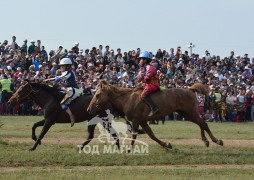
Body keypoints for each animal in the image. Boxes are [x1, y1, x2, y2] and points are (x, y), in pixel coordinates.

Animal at [88, 81, 223, 150]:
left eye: (98, 95)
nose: (89, 109)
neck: (128, 98)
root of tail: (189, 89)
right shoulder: (143, 121)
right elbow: (151, 135)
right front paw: (166, 144)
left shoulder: (136, 120)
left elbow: (134, 135)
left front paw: (130, 149)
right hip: (187, 114)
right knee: (201, 124)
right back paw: (206, 141)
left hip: (191, 112)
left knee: (203, 123)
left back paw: (216, 140)